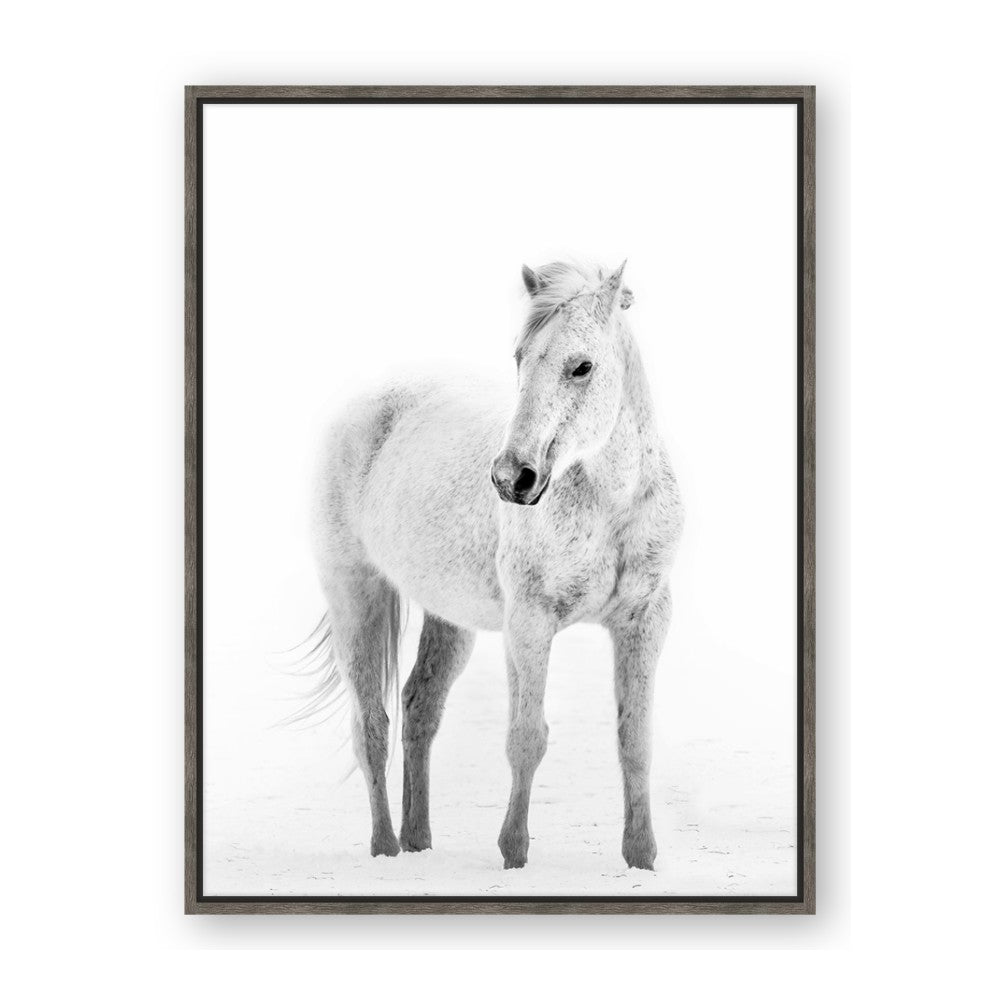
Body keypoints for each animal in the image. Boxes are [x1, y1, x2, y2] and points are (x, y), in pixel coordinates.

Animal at [307, 260, 683, 870]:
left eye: (582, 366)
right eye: (520, 358)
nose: (512, 478)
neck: (611, 504)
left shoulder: (645, 620)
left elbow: (635, 741)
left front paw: (641, 858)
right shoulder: (529, 623)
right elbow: (526, 738)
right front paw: (514, 854)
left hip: (448, 619)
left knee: (418, 708)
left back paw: (418, 840)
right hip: (354, 595)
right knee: (372, 726)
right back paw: (386, 848)